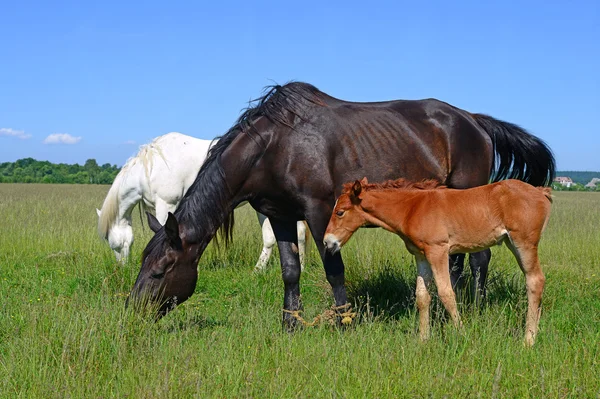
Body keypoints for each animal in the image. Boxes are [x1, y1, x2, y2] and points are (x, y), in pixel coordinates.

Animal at [129, 82, 556, 328]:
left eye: (160, 271)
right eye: (143, 264)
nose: (134, 312)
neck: (274, 147)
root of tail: (475, 120)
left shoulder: (321, 212)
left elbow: (334, 269)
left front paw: (344, 321)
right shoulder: (279, 215)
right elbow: (290, 270)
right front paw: (291, 324)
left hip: (471, 194)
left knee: (479, 257)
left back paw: (476, 306)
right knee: (455, 260)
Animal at [326, 178, 552, 346]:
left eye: (340, 212)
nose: (327, 242)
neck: (412, 207)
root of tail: (540, 191)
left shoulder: (438, 251)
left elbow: (446, 293)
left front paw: (462, 334)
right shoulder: (421, 255)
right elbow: (422, 296)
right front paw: (423, 339)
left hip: (524, 243)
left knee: (535, 281)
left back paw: (528, 340)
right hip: (512, 243)